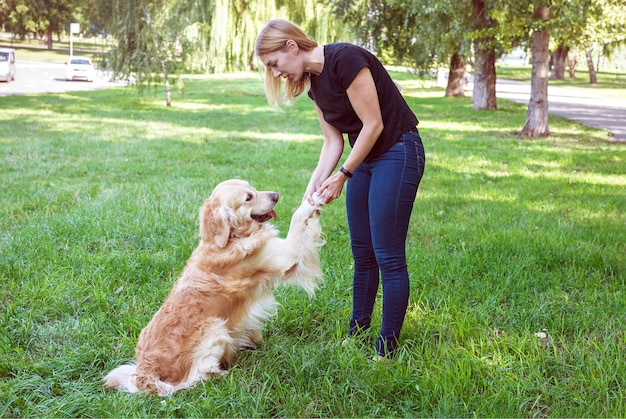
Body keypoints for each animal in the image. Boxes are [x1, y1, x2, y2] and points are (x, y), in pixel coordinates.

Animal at [103, 180, 324, 398]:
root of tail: (145, 371)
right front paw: (313, 200)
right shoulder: (285, 256)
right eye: (248, 197)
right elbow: (297, 219)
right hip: (213, 327)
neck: (229, 239)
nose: (276, 195)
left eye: (253, 187)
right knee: (195, 377)